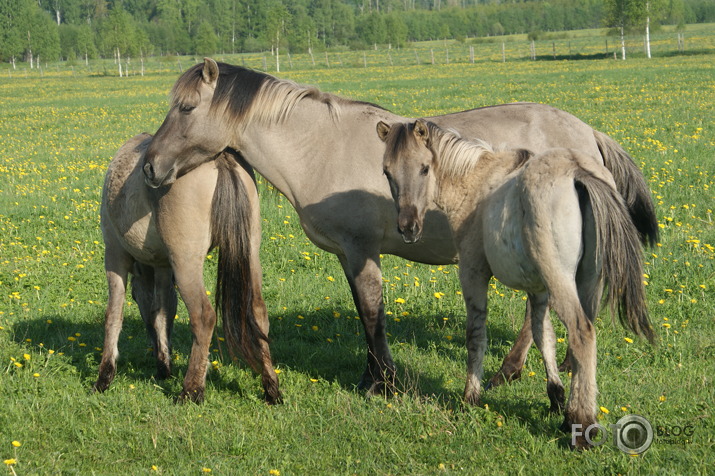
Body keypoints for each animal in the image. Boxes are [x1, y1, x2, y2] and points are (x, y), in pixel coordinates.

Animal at [96, 132, 282, 404]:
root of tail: (220, 158)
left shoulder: (115, 255)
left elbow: (114, 314)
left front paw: (104, 376)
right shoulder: (163, 267)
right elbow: (162, 312)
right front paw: (164, 365)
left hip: (186, 264)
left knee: (203, 317)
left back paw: (191, 390)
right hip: (250, 254)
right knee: (258, 312)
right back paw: (271, 388)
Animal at [141, 58, 660, 394]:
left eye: (185, 108)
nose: (149, 166)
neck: (320, 147)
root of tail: (588, 134)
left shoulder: (360, 250)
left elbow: (373, 314)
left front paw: (382, 383)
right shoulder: (348, 256)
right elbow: (363, 312)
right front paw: (372, 376)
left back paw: (508, 372)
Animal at [378, 120, 656, 450]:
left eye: (423, 168)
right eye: (387, 172)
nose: (408, 228)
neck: (477, 180)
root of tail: (576, 171)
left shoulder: (473, 273)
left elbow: (476, 336)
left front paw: (471, 396)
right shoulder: (538, 289)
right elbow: (542, 334)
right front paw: (555, 396)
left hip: (562, 283)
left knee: (582, 333)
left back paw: (582, 428)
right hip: (585, 282)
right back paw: (570, 416)